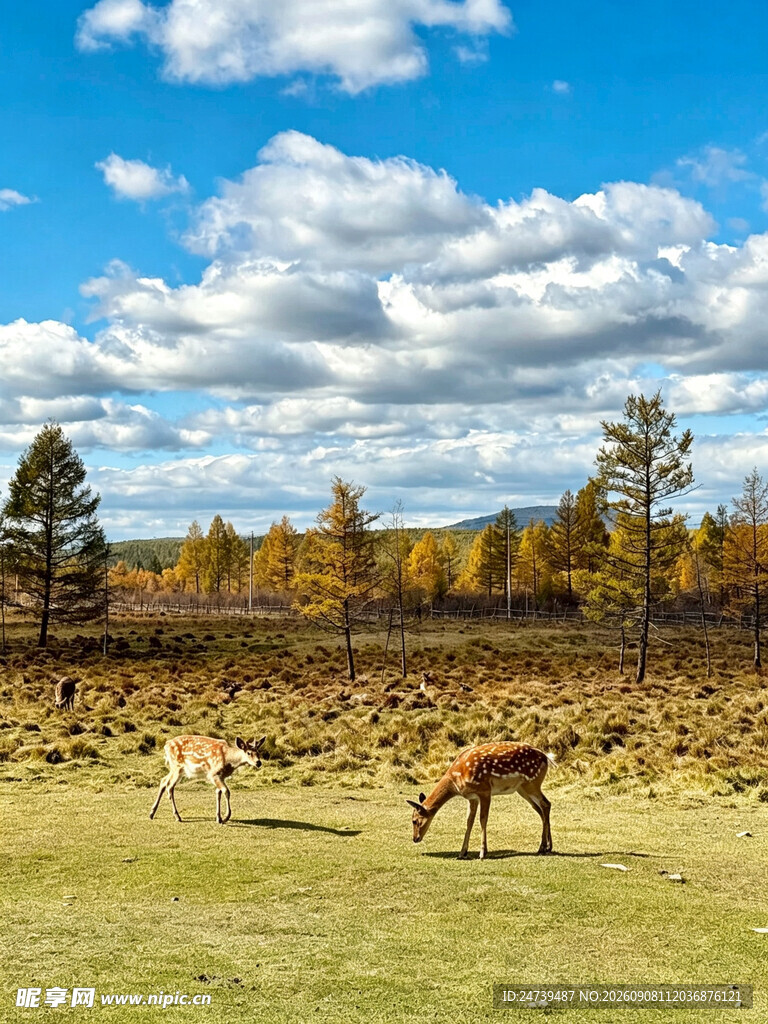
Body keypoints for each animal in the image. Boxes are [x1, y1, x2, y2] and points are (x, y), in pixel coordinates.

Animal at [408, 742, 554, 859]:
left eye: (414, 820)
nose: (415, 838)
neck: (456, 780)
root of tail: (547, 758)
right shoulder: (472, 797)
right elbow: (469, 821)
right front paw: (462, 853)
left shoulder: (484, 790)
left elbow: (483, 819)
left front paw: (482, 853)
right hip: (522, 788)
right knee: (540, 808)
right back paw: (546, 846)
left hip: (532, 783)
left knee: (546, 804)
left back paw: (543, 847)